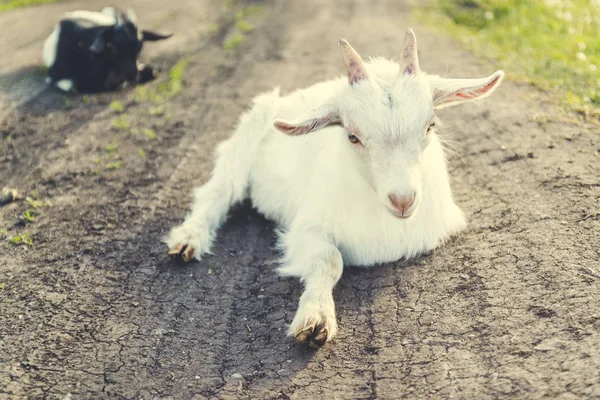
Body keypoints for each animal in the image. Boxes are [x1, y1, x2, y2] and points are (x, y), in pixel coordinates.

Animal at [166, 30, 504, 346]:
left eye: (431, 125)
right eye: (352, 136)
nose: (403, 200)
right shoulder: (304, 228)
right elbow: (329, 258)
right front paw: (315, 318)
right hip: (246, 134)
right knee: (217, 193)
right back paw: (188, 239)